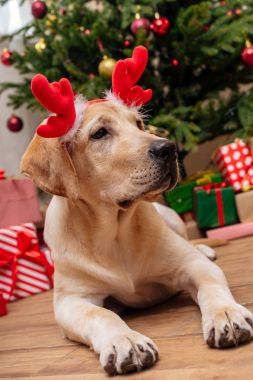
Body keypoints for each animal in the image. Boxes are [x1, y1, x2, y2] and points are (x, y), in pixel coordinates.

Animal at [21, 99, 253, 376]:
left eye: (139, 123)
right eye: (100, 133)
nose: (169, 148)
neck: (113, 232)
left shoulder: (193, 266)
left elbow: (211, 288)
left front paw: (226, 314)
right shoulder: (70, 300)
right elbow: (101, 314)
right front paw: (125, 341)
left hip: (171, 216)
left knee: (191, 243)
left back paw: (204, 249)